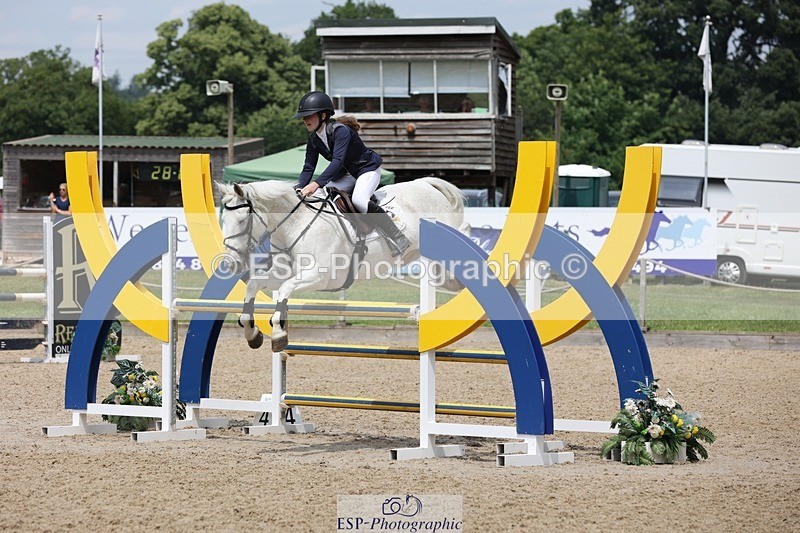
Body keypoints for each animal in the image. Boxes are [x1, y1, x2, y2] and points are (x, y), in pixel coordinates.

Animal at [217, 178, 470, 351]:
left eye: (242, 220)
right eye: (223, 220)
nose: (230, 264)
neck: (295, 224)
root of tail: (427, 183)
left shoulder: (321, 276)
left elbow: (286, 289)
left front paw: (278, 334)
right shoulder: (282, 271)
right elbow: (253, 285)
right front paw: (252, 334)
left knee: (464, 239)